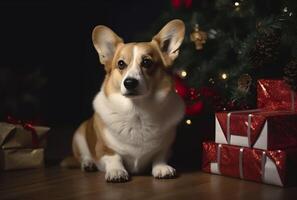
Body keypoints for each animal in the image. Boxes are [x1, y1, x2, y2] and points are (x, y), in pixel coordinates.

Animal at [61, 19, 184, 182]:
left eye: (147, 62)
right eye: (120, 64)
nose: (129, 83)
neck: (137, 111)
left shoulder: (166, 147)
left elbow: (159, 156)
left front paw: (162, 168)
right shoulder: (104, 148)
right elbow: (114, 157)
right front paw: (116, 171)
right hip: (80, 134)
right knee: (83, 156)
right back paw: (88, 164)